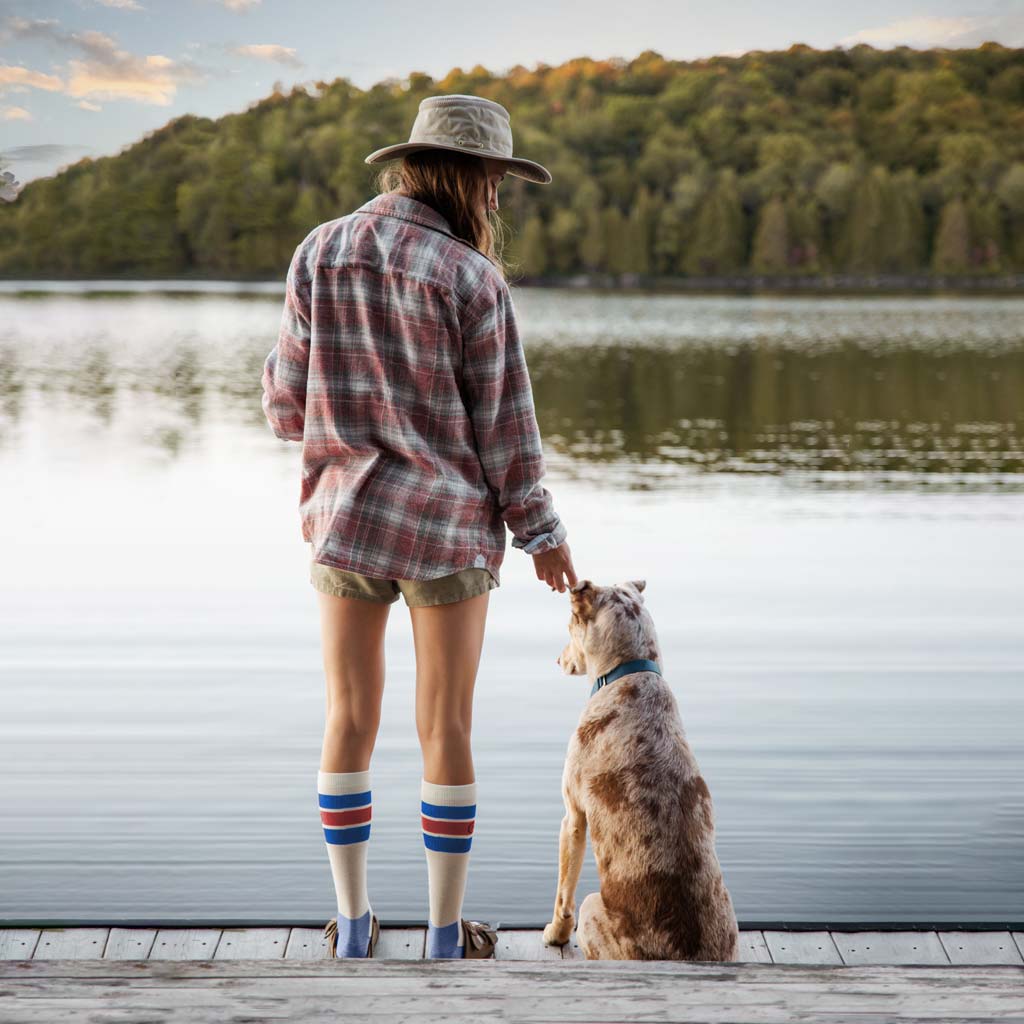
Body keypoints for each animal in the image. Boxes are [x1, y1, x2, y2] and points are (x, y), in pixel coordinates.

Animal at [540, 581, 741, 962]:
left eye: (569, 626)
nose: (557, 660)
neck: (630, 671)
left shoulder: (572, 818)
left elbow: (562, 895)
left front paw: (555, 934)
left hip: (592, 905)